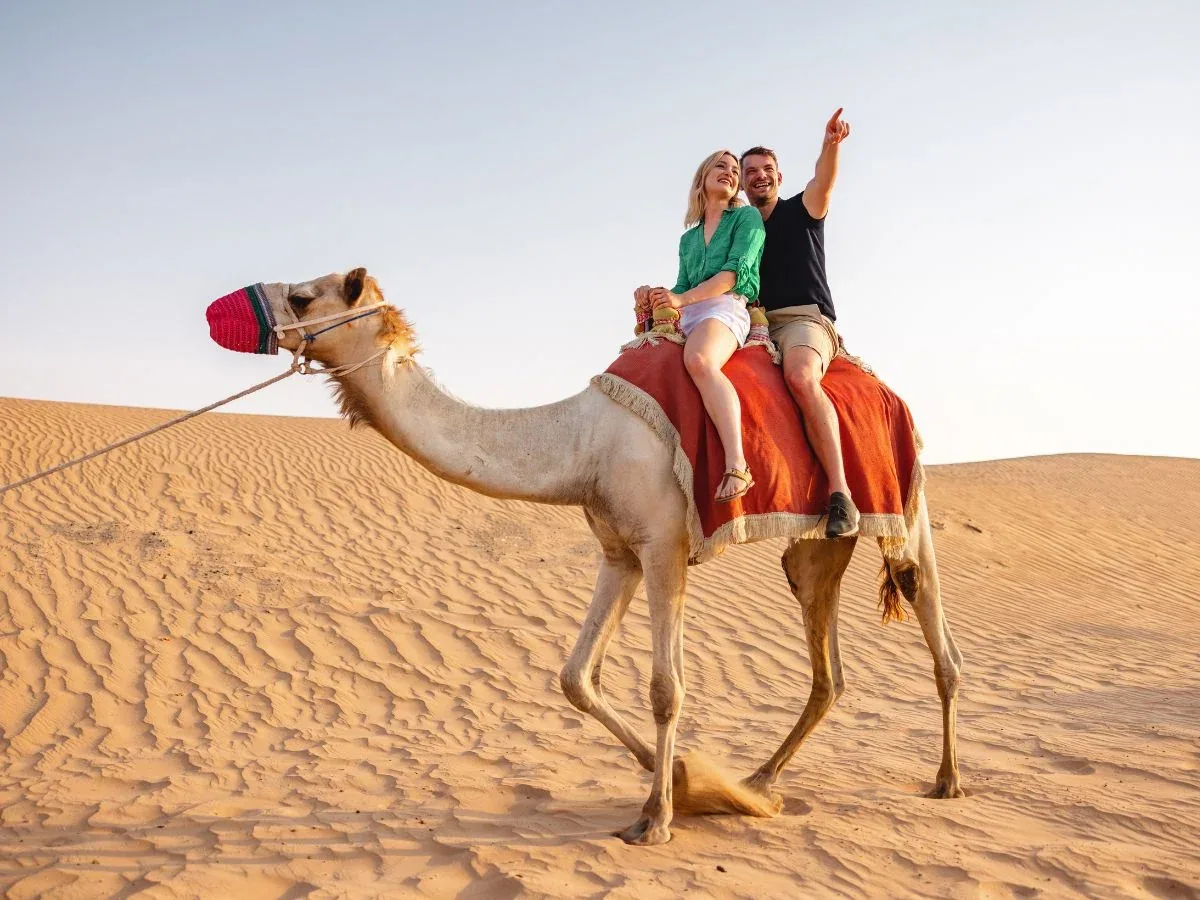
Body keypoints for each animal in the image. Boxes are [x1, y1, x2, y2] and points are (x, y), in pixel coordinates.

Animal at [254, 268, 964, 845]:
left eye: (303, 295)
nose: (254, 308)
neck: (582, 442)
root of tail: (886, 389)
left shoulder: (664, 546)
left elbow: (666, 688)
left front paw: (657, 816)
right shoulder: (619, 551)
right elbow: (575, 677)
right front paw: (685, 779)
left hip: (906, 502)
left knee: (934, 625)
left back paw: (947, 780)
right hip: (817, 549)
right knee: (828, 669)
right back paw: (759, 783)